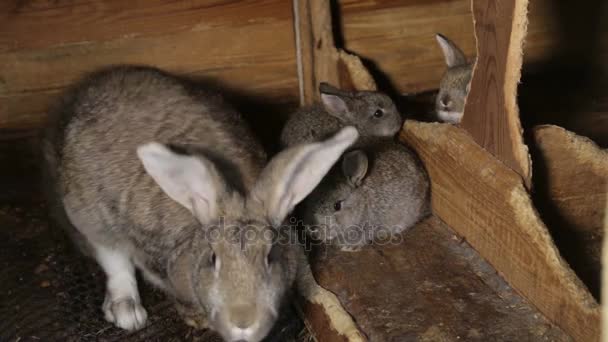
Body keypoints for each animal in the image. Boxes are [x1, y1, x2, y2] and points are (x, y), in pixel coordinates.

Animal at [42, 65, 358, 340]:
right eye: (213, 258)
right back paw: (127, 312)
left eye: (270, 257)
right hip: (88, 212)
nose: (243, 320)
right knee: (113, 258)